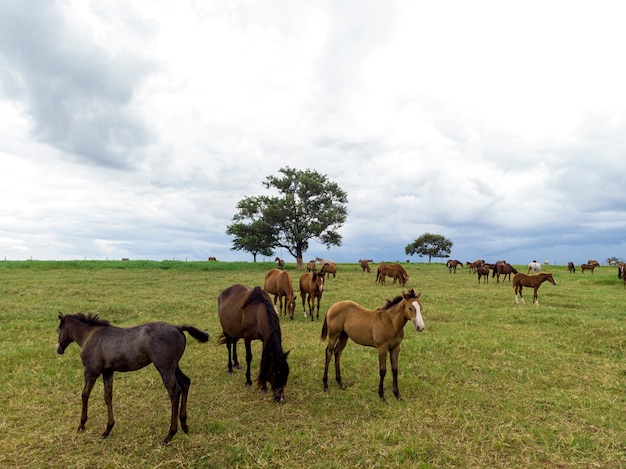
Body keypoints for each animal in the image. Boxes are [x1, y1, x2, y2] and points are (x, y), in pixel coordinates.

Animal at [55, 310, 208, 442]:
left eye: (58, 330)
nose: (58, 349)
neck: (90, 335)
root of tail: (177, 328)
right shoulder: (107, 371)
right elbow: (108, 396)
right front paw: (107, 429)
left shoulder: (91, 371)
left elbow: (84, 395)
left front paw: (81, 425)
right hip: (174, 367)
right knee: (185, 382)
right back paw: (184, 426)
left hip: (165, 368)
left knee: (174, 392)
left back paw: (170, 435)